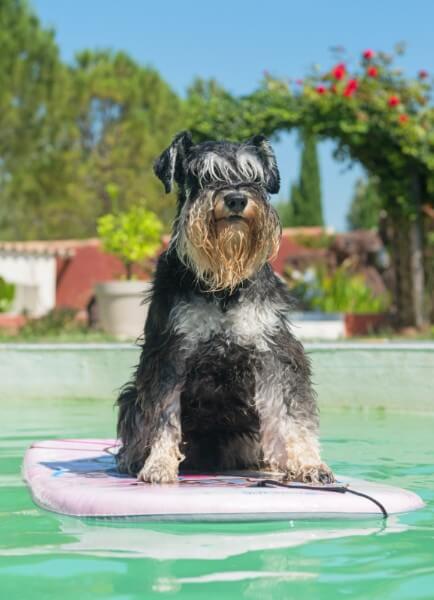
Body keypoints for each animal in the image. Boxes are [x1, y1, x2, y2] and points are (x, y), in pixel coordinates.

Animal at [117, 130, 334, 482]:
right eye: (203, 176)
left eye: (254, 177)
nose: (235, 199)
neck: (223, 284)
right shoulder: (169, 355)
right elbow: (163, 415)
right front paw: (159, 463)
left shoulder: (275, 352)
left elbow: (291, 413)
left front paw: (307, 463)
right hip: (130, 396)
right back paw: (134, 459)